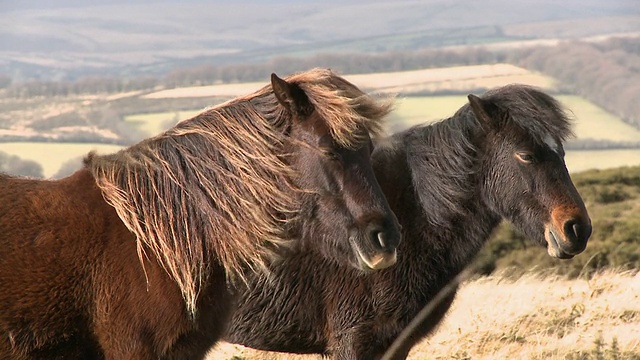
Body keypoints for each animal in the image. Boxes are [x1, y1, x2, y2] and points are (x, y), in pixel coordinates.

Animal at [226, 85, 596, 360]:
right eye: (526, 155)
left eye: (562, 153)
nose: (576, 229)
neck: (413, 214)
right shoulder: (353, 341)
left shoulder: (397, 342)